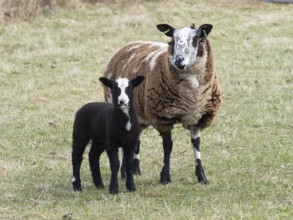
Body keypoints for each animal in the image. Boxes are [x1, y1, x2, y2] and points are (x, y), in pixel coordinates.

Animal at [102, 22, 219, 184]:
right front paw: (165, 177)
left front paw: (202, 176)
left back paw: (134, 170)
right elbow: (168, 146)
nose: (178, 60)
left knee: (135, 140)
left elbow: (196, 145)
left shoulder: (198, 117)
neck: (191, 96)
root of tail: (127, 45)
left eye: (196, 39)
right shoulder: (163, 118)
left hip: (139, 116)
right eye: (172, 40)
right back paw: (124, 173)